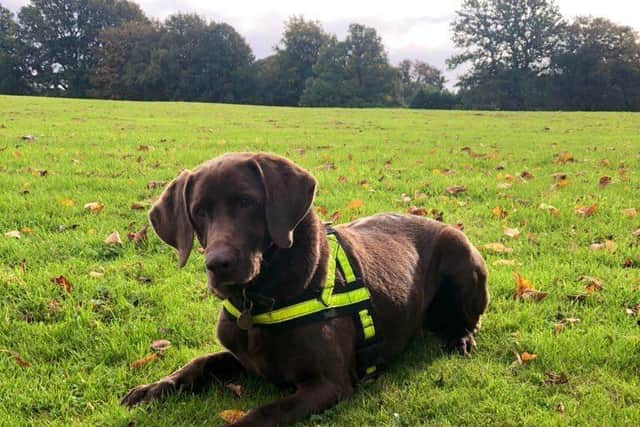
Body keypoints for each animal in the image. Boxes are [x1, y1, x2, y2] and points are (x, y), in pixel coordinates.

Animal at [121, 152, 490, 426]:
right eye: (199, 211)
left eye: (246, 202)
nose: (218, 263)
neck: (258, 303)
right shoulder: (244, 358)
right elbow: (200, 363)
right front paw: (152, 388)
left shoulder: (329, 383)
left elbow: (262, 414)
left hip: (462, 256)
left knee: (471, 320)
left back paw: (460, 338)